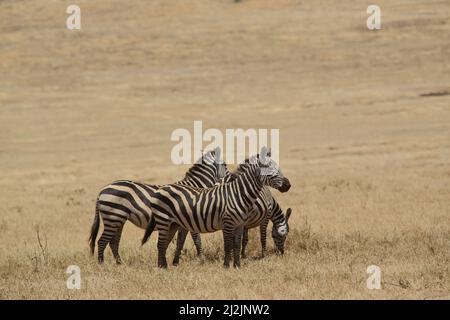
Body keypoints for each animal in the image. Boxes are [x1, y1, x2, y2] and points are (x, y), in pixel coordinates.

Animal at [88, 149, 227, 264]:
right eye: (225, 165)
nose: (230, 176)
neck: (194, 187)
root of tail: (102, 190)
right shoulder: (192, 219)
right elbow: (197, 240)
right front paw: (201, 259)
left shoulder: (183, 223)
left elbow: (180, 243)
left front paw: (176, 262)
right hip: (113, 217)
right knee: (102, 241)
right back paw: (102, 264)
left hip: (118, 219)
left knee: (113, 242)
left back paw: (120, 264)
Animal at [142, 149, 294, 268]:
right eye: (271, 170)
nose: (288, 185)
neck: (239, 193)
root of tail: (161, 189)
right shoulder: (229, 222)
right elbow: (228, 245)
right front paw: (227, 266)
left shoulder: (240, 225)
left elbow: (237, 244)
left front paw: (237, 266)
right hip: (164, 220)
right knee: (161, 244)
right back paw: (163, 268)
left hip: (173, 223)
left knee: (164, 244)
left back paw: (164, 266)